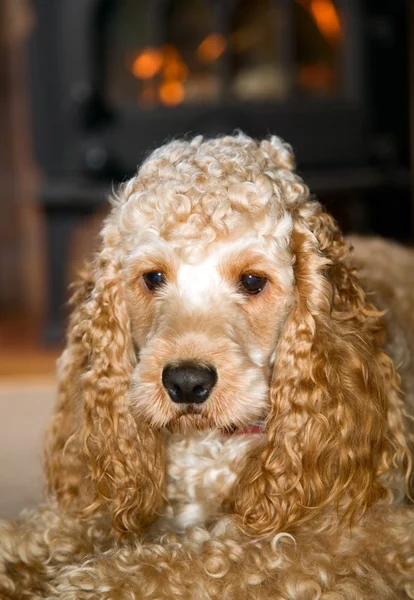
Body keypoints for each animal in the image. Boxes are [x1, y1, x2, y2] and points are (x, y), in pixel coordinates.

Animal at [0, 134, 412, 596]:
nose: (185, 382)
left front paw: (82, 584)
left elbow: (200, 560)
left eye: (252, 281)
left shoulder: (358, 537)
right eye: (153, 277)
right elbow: (44, 532)